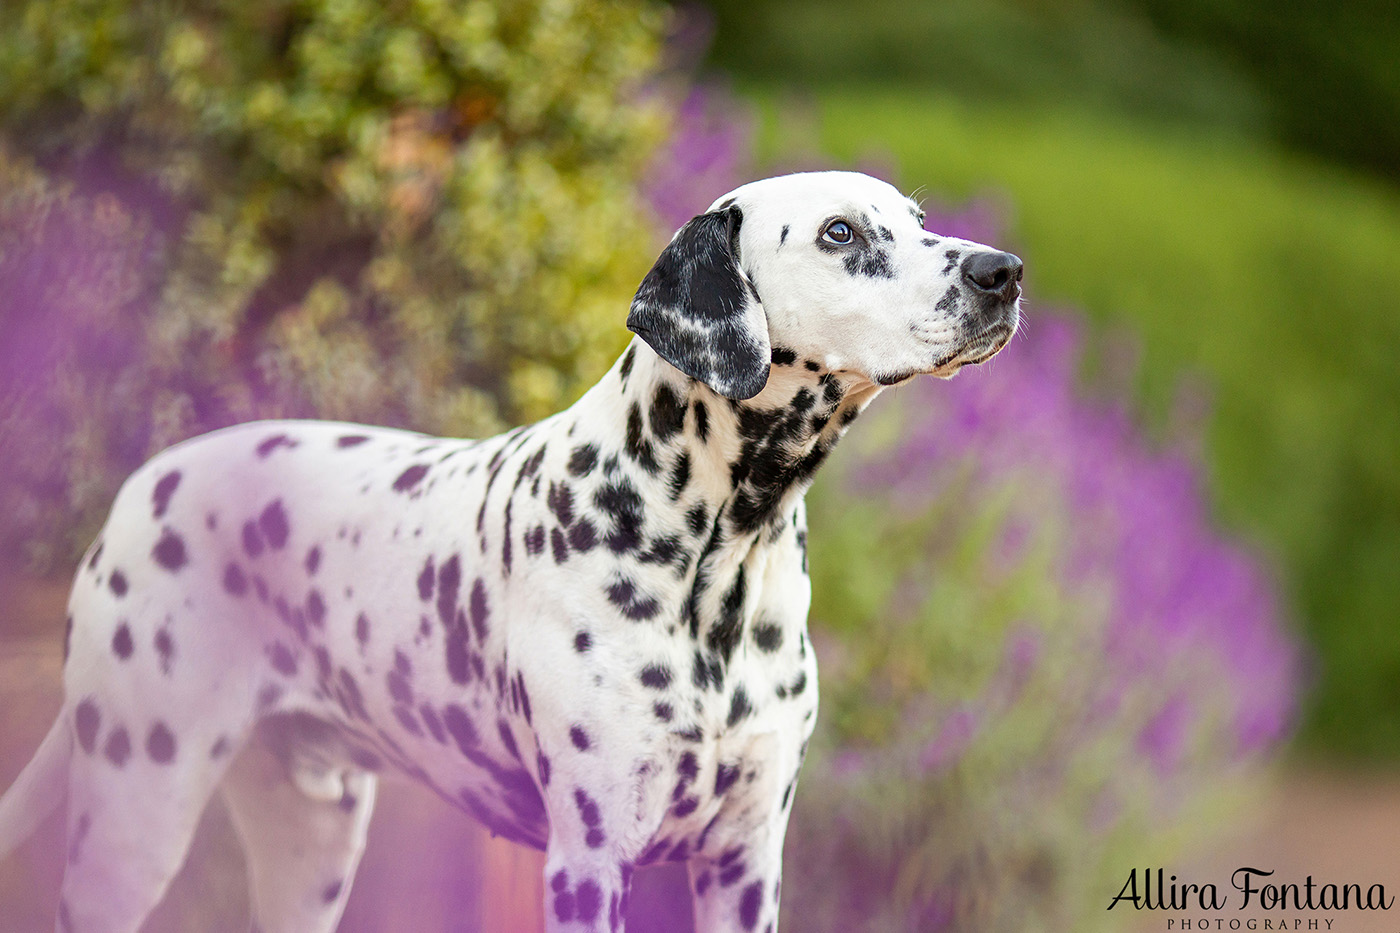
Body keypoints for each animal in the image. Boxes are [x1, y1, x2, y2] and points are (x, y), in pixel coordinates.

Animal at [0, 170, 1019, 924]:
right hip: (136, 812)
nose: (1002, 271)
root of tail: (144, 486)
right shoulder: (589, 859)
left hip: (311, 843)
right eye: (841, 233)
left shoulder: (746, 862)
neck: (716, 560)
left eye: (919, 221)